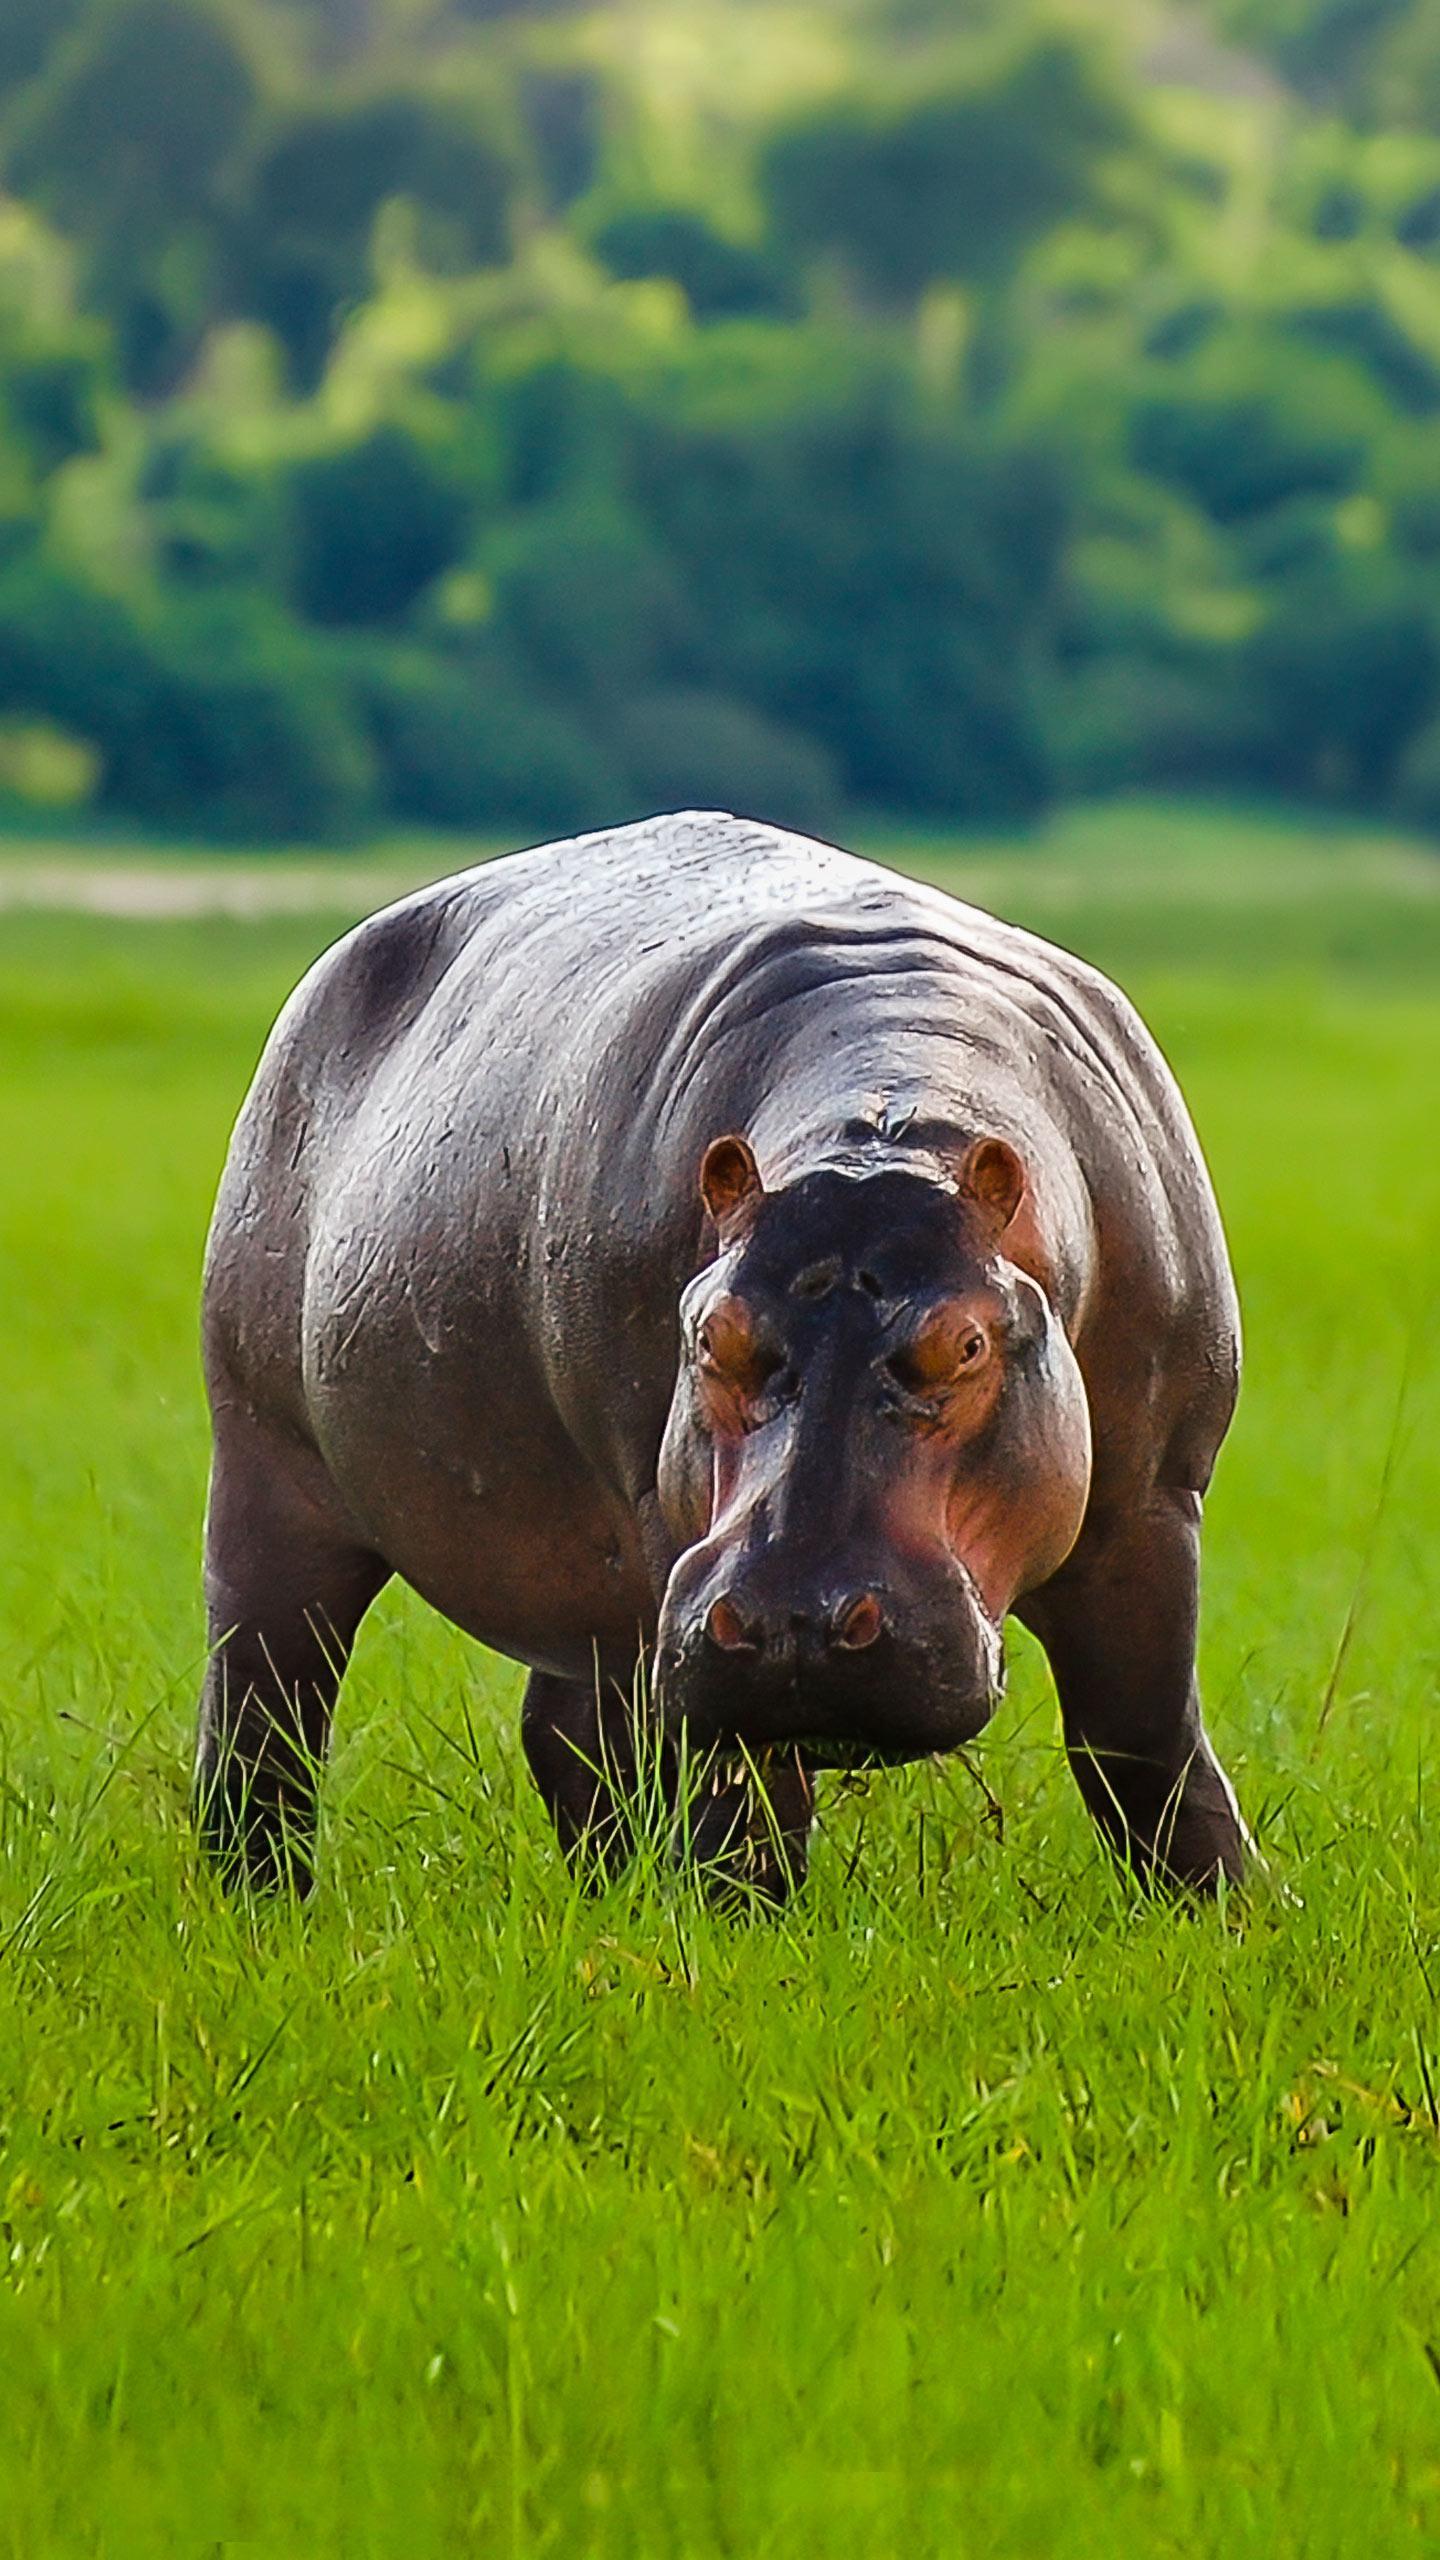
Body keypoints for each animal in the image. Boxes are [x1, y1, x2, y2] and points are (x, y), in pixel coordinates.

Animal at [195, 812, 1249, 1901]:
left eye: (965, 1341)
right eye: (708, 1333)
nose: (797, 1620)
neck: (883, 1132)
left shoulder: (1155, 1501)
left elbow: (1143, 1738)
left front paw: (1225, 1910)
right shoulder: (669, 1522)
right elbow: (750, 1791)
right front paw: (749, 1922)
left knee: (564, 1732)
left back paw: (606, 1895)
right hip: (270, 1458)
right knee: (266, 1701)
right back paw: (259, 1903)